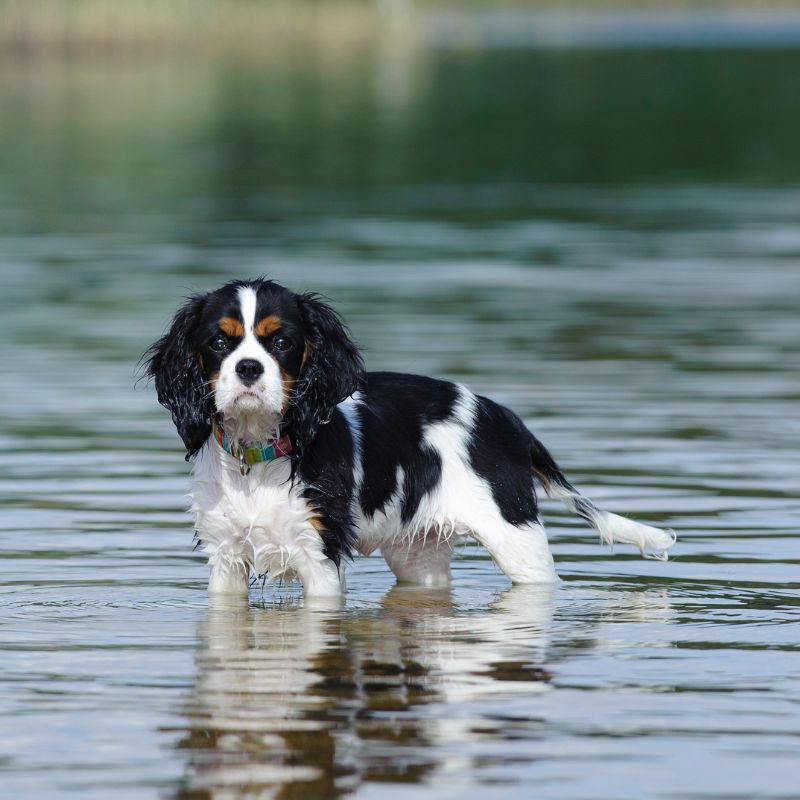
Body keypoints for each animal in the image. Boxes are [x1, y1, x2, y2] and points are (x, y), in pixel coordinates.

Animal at [144, 278, 676, 596]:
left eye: (281, 342)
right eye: (218, 342)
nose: (249, 368)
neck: (259, 454)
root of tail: (503, 415)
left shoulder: (319, 557)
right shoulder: (225, 561)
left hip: (519, 543)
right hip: (419, 558)